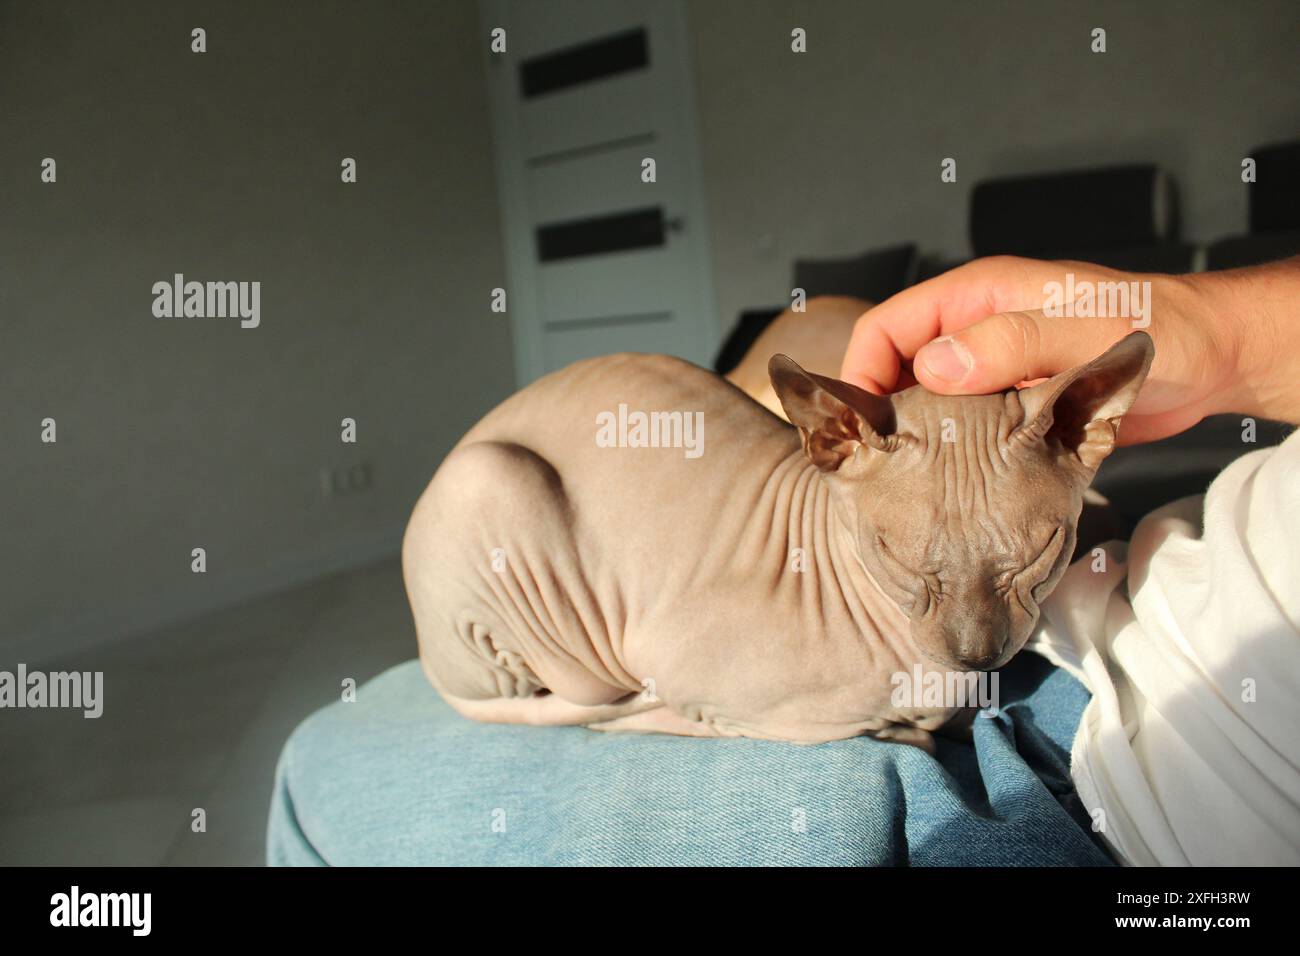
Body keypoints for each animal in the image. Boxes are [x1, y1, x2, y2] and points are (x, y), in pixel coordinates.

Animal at [400, 329, 1154, 749]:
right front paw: (904, 727)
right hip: (489, 480)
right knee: (584, 693)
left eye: (1040, 555)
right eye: (896, 560)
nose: (978, 653)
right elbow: (882, 733)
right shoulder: (688, 668)